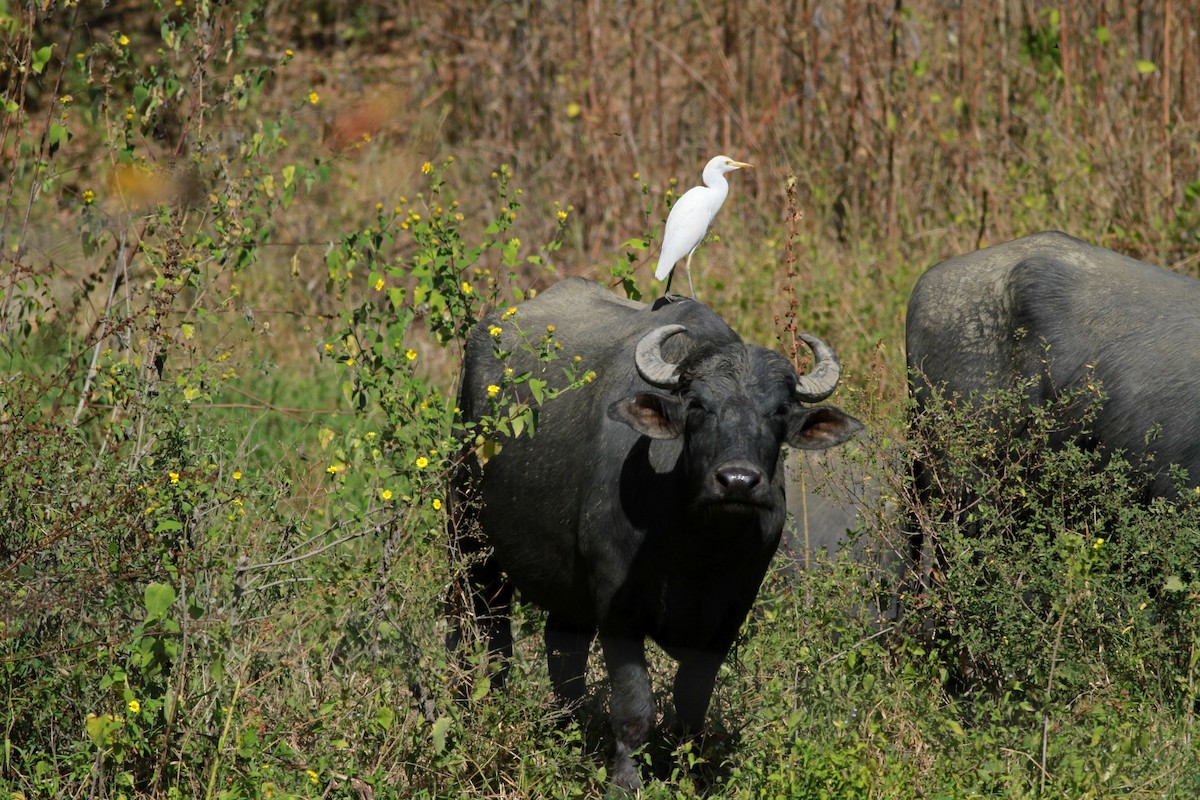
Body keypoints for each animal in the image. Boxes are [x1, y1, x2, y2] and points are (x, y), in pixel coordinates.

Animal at [446, 278, 859, 791]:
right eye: (698, 406)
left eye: (780, 411)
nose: (737, 481)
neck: (696, 549)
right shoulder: (617, 610)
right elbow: (634, 707)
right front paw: (625, 780)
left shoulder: (726, 620)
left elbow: (691, 707)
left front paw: (688, 772)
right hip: (469, 541)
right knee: (484, 631)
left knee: (563, 653)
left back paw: (565, 728)